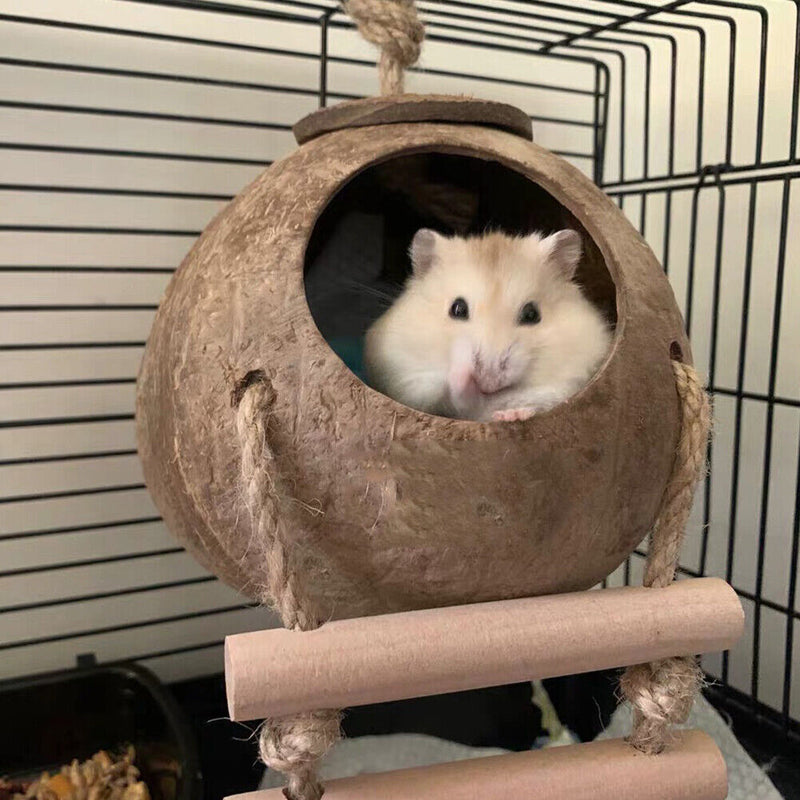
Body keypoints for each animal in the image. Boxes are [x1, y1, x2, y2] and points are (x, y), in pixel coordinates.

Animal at [364, 228, 612, 422]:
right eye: (457, 309)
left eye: (532, 314)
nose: (489, 380)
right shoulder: (409, 382)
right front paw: (461, 371)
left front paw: (511, 415)